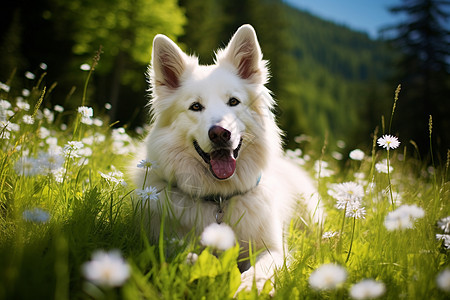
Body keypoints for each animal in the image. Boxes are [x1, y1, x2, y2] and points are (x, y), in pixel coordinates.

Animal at [133, 24, 324, 294]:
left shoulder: (274, 249)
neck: (219, 199)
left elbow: (261, 269)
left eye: (233, 102)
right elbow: (187, 256)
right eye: (195, 107)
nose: (220, 133)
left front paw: (249, 288)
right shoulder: (162, 240)